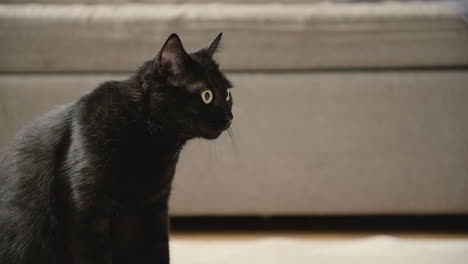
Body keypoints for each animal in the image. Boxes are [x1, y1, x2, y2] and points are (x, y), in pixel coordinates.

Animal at [0, 33, 233, 264]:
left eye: (228, 94)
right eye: (207, 95)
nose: (230, 117)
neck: (147, 141)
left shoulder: (154, 208)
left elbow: (159, 252)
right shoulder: (87, 214)